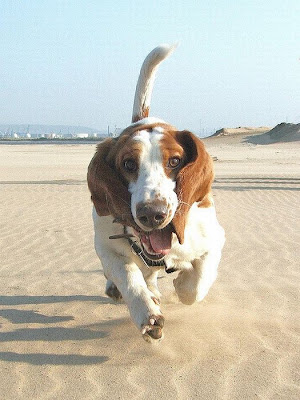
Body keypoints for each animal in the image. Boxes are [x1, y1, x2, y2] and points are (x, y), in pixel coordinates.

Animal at [87, 44, 225, 344]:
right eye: (128, 164)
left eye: (174, 161)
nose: (153, 215)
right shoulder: (106, 245)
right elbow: (128, 277)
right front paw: (147, 313)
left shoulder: (214, 240)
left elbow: (197, 284)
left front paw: (183, 283)